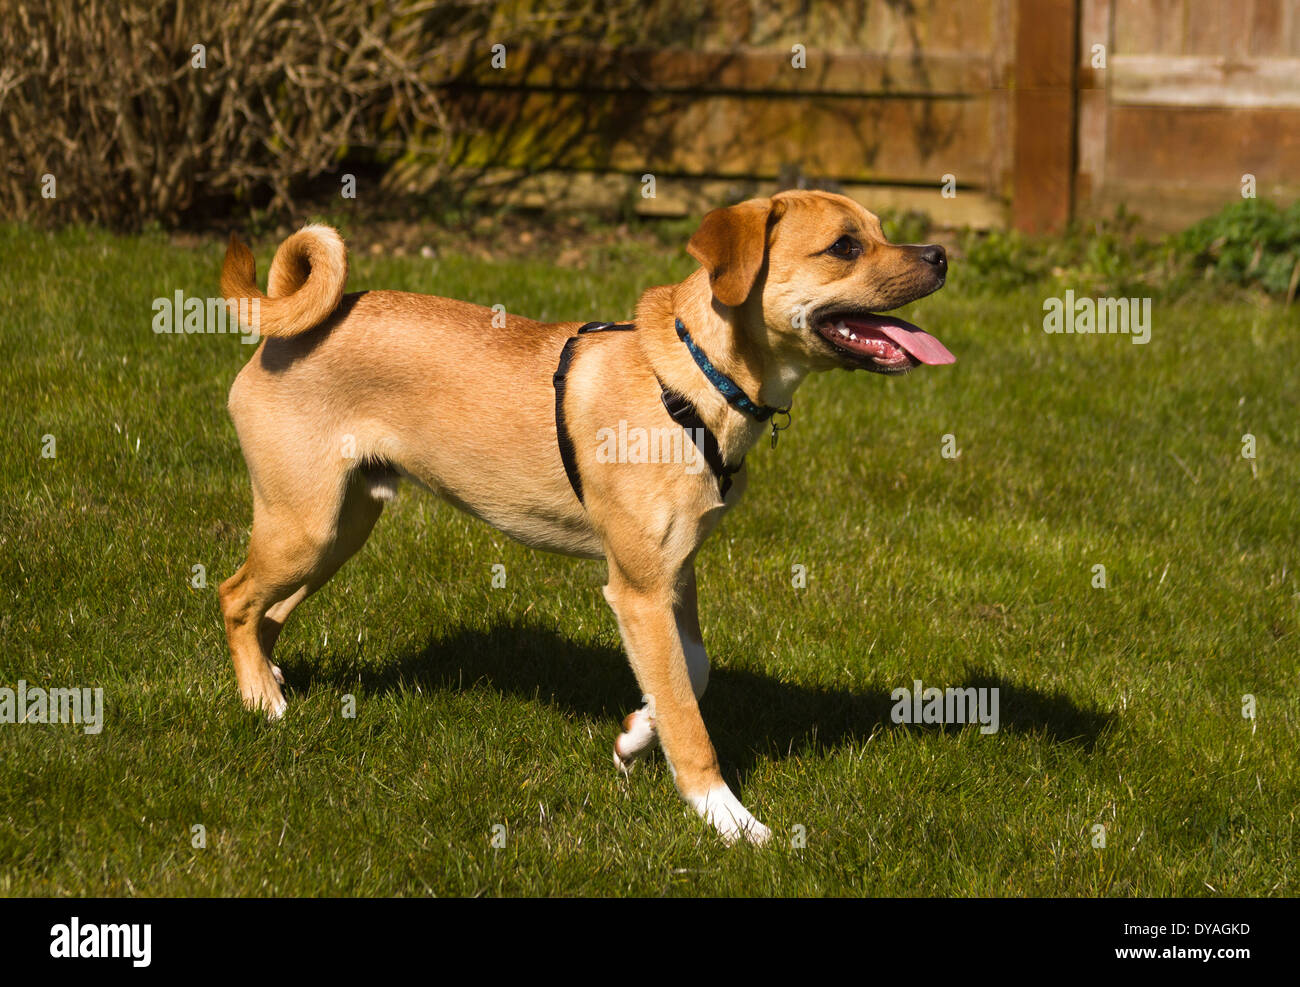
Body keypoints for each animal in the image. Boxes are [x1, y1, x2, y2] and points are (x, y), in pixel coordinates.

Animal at [215, 188, 956, 847]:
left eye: (879, 228)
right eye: (845, 245)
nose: (942, 253)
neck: (694, 380)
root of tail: (290, 327)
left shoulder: (675, 573)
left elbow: (692, 671)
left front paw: (635, 734)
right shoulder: (638, 589)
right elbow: (690, 721)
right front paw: (728, 820)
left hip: (341, 526)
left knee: (268, 612)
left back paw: (271, 679)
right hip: (304, 524)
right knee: (234, 597)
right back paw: (261, 703)